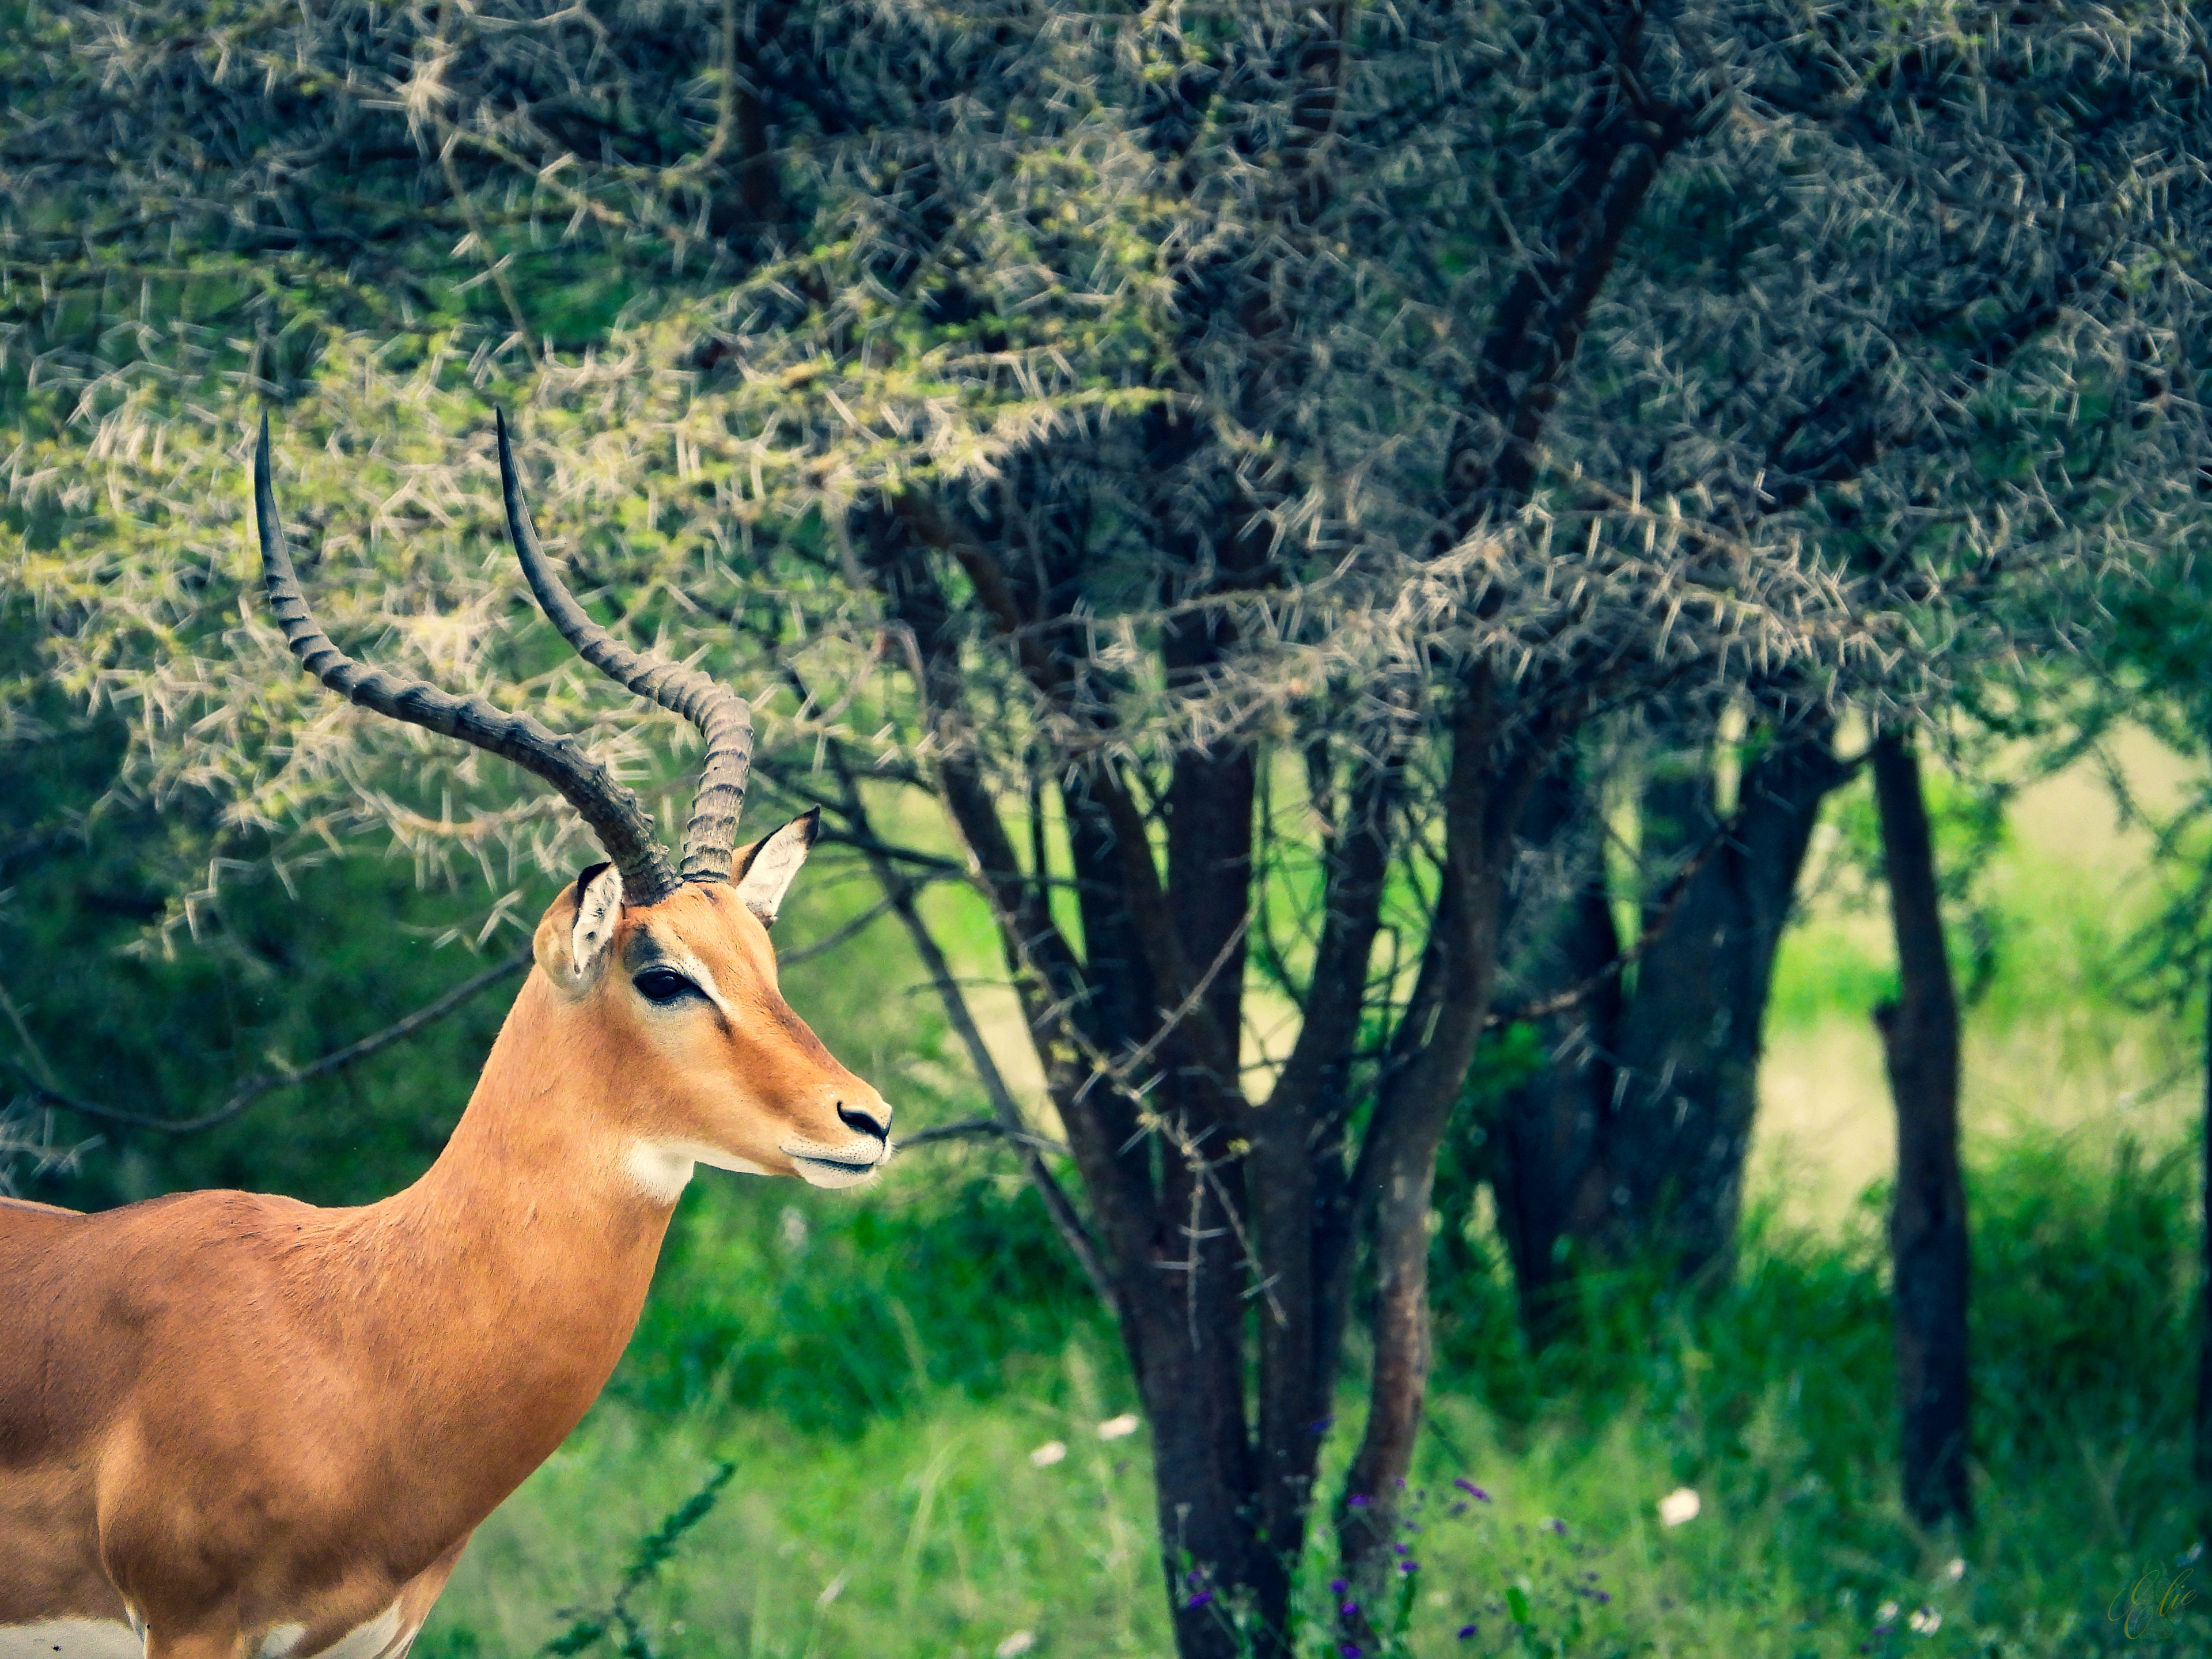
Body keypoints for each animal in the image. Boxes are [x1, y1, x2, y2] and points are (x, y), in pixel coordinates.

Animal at [0, 415, 892, 1659]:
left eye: (765, 962)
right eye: (664, 975)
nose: (868, 1120)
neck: (353, 1330)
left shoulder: (377, 1636)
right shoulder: (190, 1626)